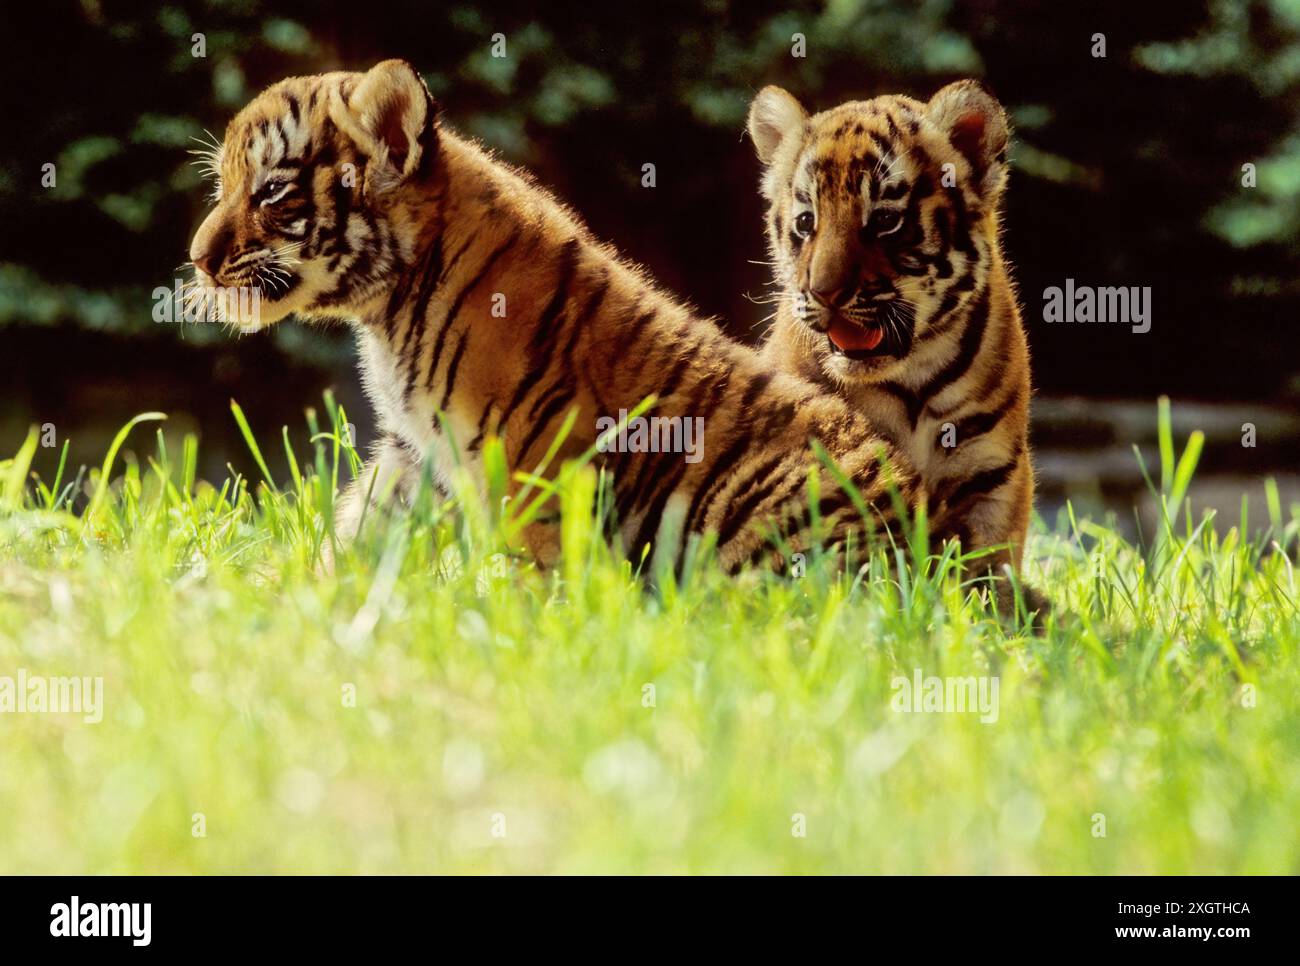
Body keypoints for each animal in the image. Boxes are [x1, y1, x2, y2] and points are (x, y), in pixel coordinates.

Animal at [185, 59, 929, 574]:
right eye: (223, 184)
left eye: (270, 191)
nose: (196, 259)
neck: (388, 305)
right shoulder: (413, 451)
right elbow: (360, 529)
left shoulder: (531, 470)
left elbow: (532, 575)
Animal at [745, 80, 1037, 595]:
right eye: (806, 222)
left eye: (884, 220)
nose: (824, 292)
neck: (909, 382)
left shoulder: (992, 473)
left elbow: (989, 577)